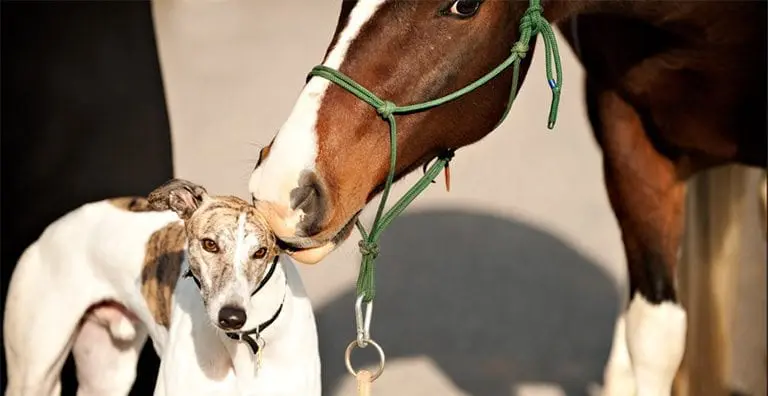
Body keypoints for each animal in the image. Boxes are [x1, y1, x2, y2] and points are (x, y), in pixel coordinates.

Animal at [3, 179, 320, 396]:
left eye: (261, 252)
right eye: (209, 244)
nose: (231, 317)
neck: (243, 344)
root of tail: (51, 229)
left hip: (106, 374)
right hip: (34, 373)